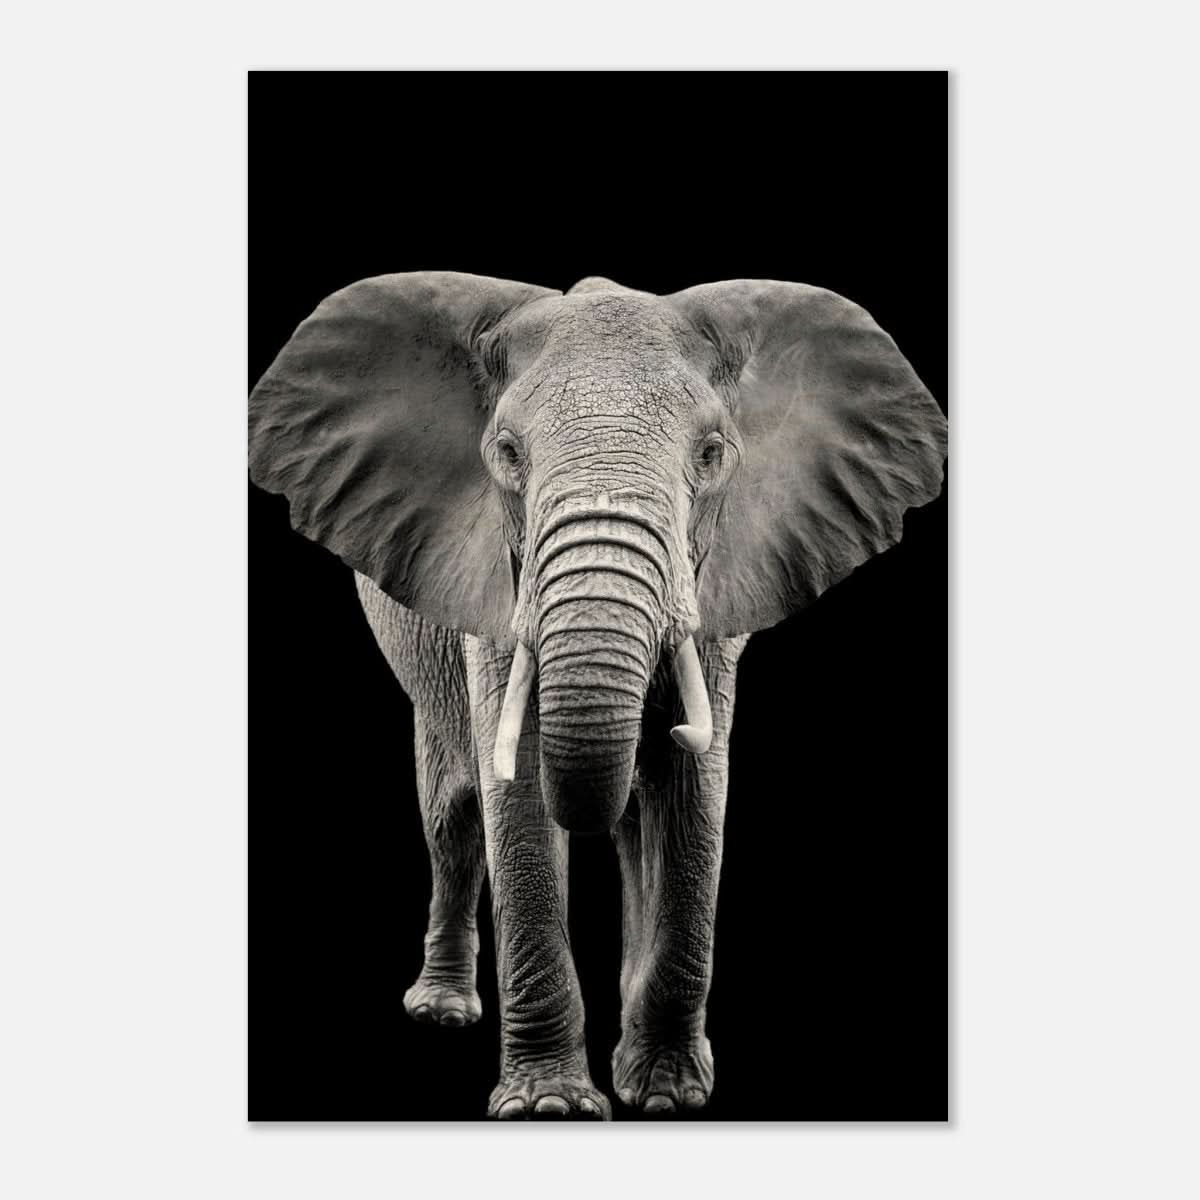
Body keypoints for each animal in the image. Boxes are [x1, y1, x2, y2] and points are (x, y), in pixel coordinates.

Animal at [248, 271, 947, 1120]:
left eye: (712, 455)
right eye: (506, 453)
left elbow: (694, 794)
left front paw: (668, 1094)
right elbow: (515, 796)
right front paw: (549, 1106)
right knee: (452, 816)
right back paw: (442, 1011)